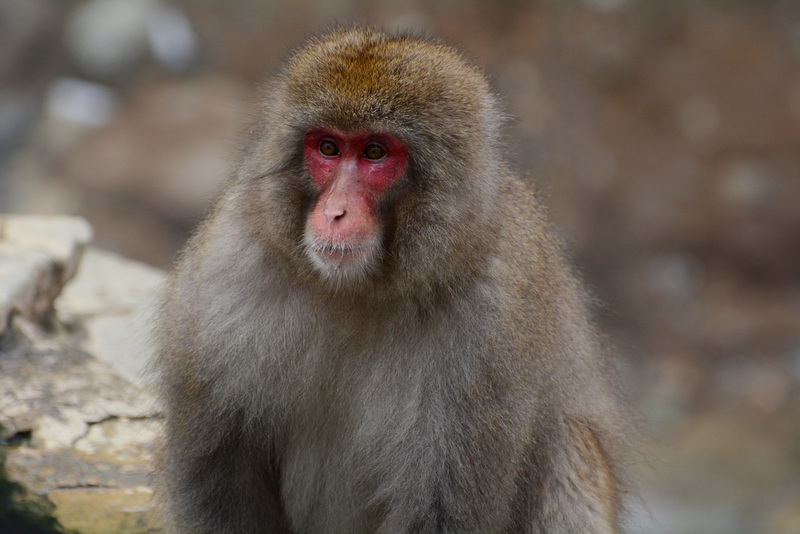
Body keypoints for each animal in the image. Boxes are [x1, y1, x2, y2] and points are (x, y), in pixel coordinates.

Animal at [153, 27, 636, 534]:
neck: (359, 290)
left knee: (574, 452)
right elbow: (219, 480)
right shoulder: (225, 273)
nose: (335, 212)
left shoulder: (492, 327)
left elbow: (442, 509)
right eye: (328, 148)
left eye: (375, 153)